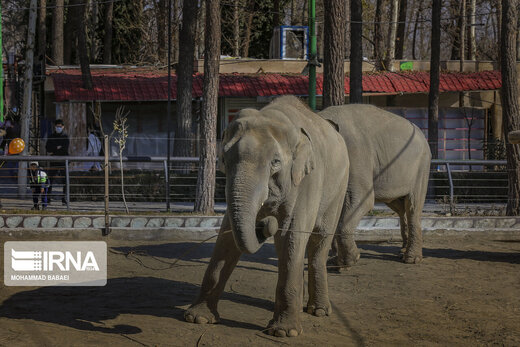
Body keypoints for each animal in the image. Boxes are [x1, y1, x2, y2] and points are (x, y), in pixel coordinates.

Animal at [184, 95, 350, 338]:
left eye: (275, 162)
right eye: (224, 158)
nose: (264, 224)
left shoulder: (308, 180)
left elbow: (290, 233)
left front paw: (283, 332)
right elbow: (227, 236)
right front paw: (198, 318)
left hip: (339, 187)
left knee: (318, 240)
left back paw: (318, 311)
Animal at [318, 104, 432, 266]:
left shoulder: (357, 156)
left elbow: (362, 200)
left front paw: (349, 261)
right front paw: (335, 260)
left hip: (421, 167)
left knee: (413, 205)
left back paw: (411, 259)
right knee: (399, 206)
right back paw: (403, 250)